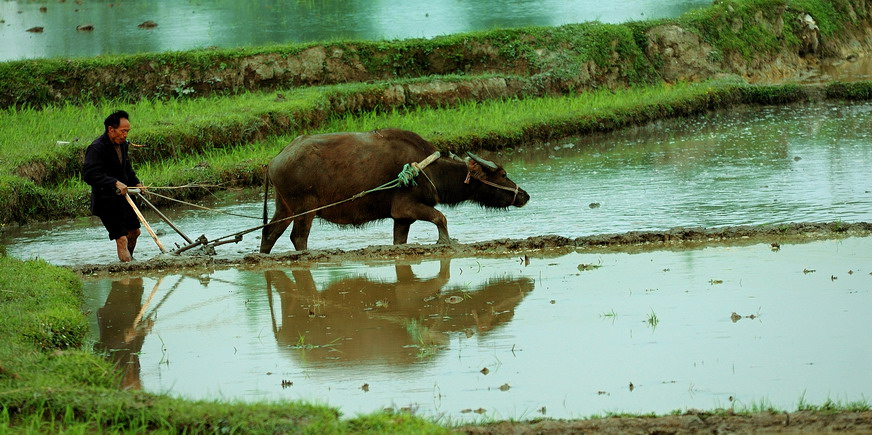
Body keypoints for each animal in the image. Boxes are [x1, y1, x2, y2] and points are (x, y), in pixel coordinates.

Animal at [258, 127, 528, 254]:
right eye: (503, 175)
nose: (525, 195)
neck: (426, 169)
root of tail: (274, 160)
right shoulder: (407, 207)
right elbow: (440, 217)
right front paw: (444, 241)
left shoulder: (402, 218)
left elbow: (400, 240)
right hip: (305, 208)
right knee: (297, 237)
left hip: (284, 206)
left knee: (270, 233)